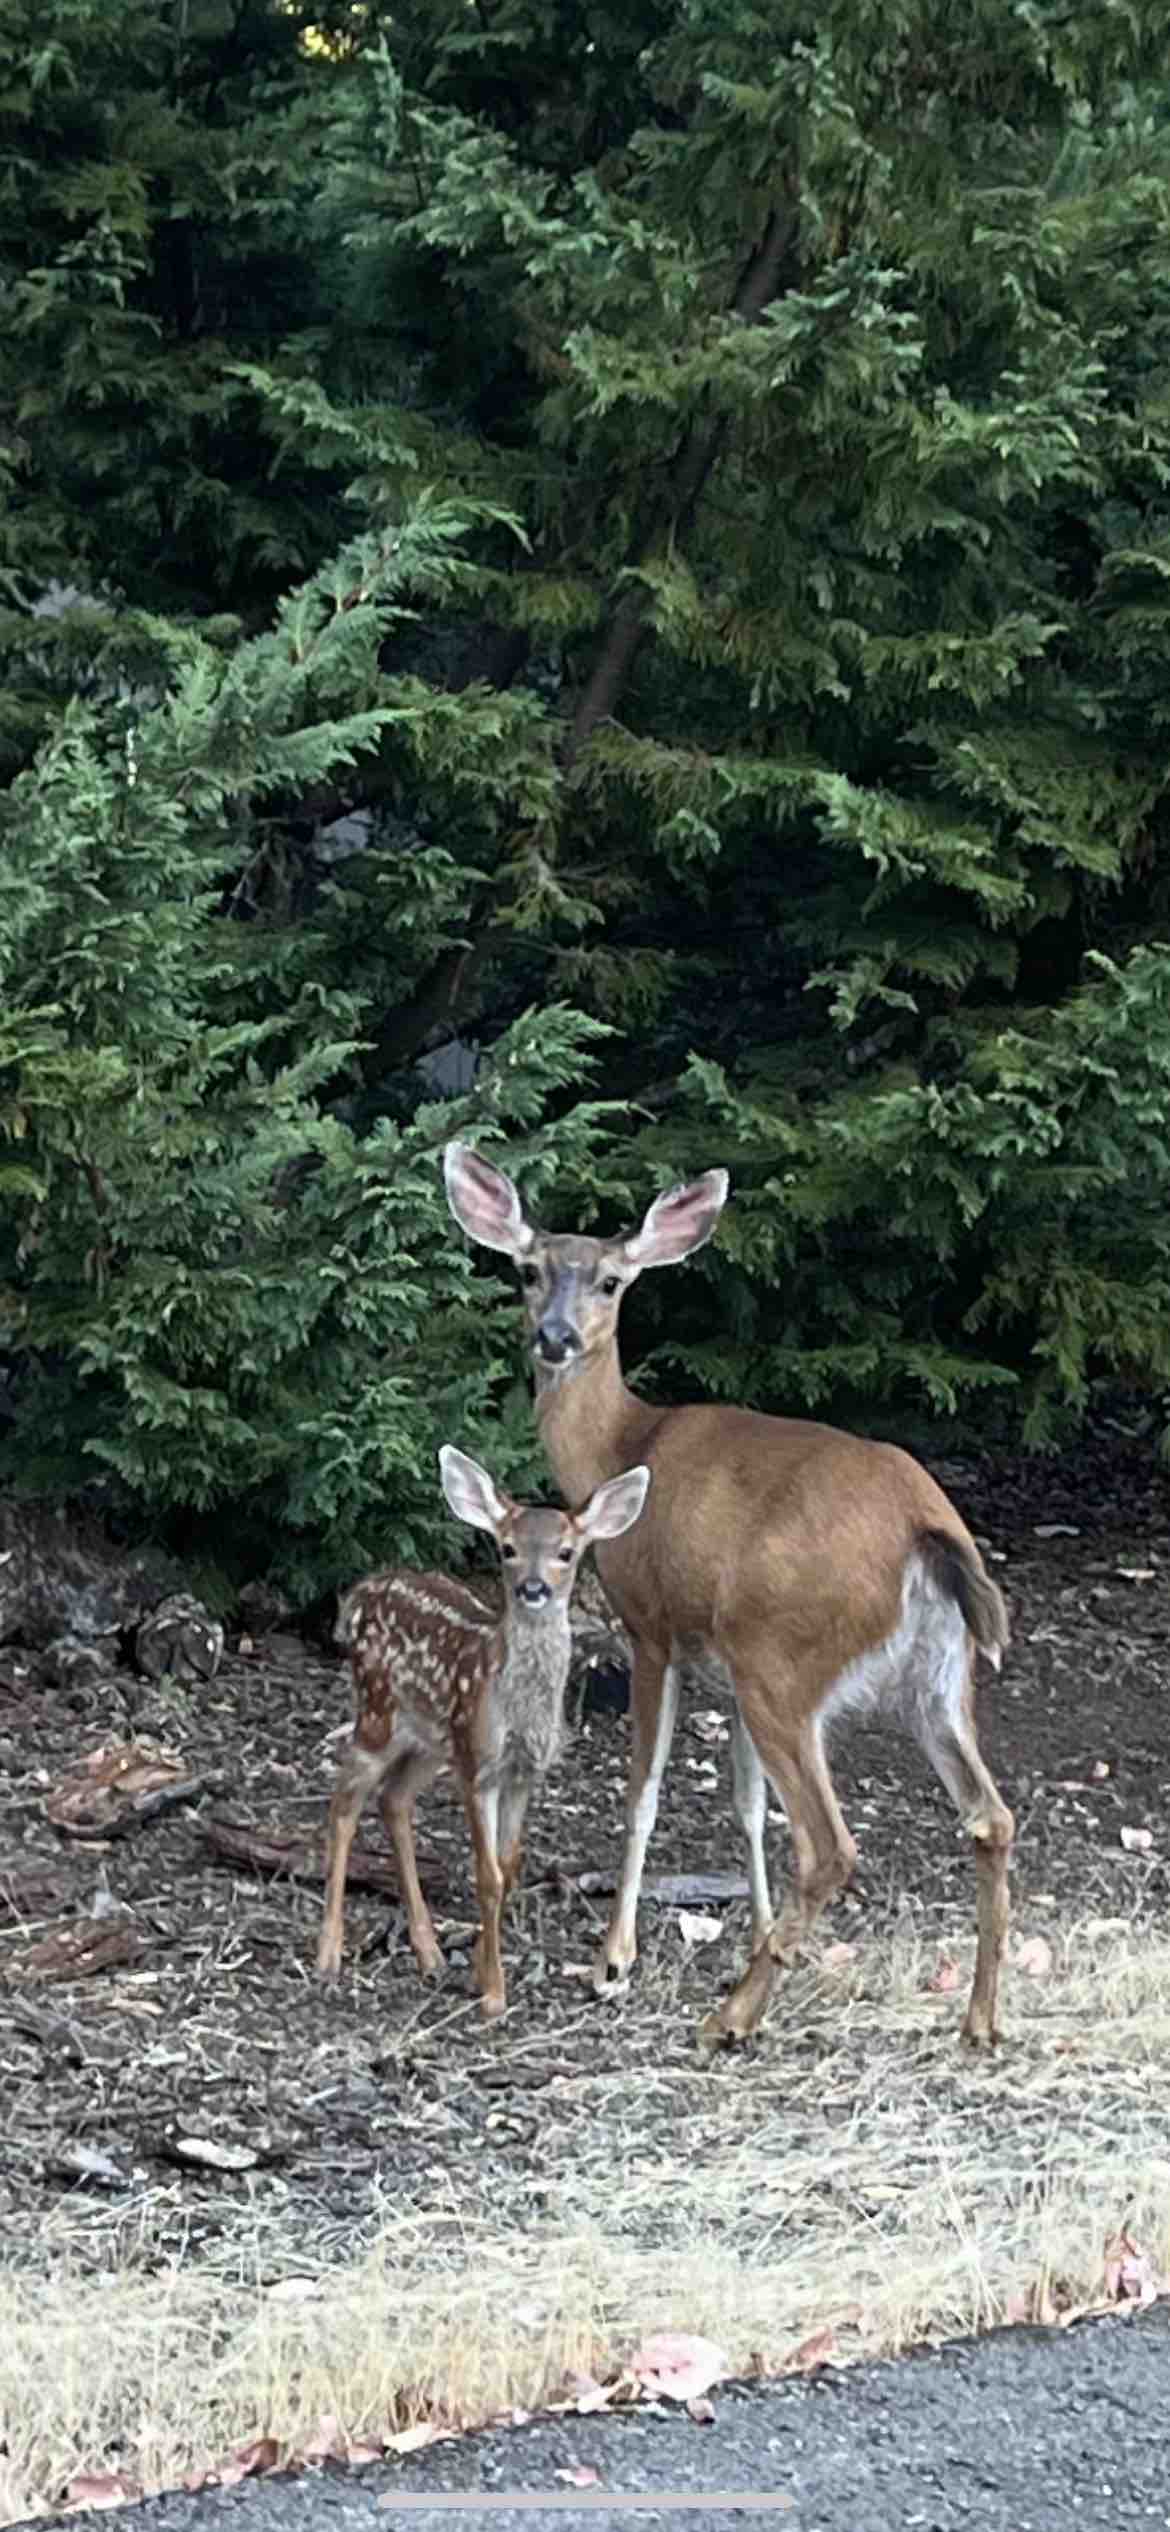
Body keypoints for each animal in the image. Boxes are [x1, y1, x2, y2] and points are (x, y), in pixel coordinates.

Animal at [317, 1448, 648, 2015]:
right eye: (508, 1547)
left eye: (565, 1552)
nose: (533, 1588)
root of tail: (359, 1595)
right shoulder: (479, 1766)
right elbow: (488, 1874)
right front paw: (494, 1993)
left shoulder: (523, 1772)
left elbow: (509, 1865)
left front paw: (476, 1971)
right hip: (379, 1711)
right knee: (344, 1804)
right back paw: (327, 1953)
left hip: (431, 1739)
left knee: (393, 1799)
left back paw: (428, 1951)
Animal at [440, 1149, 1012, 2055]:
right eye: (530, 1270)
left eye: (610, 1281)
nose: (554, 1337)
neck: (620, 1446)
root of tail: (928, 1530)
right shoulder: (722, 1661)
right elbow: (746, 1806)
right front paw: (758, 1937)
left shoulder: (652, 1626)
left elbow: (643, 1792)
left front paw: (614, 1959)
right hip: (934, 1673)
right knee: (991, 1817)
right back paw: (980, 2020)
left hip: (786, 1658)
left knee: (830, 1844)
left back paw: (731, 2020)